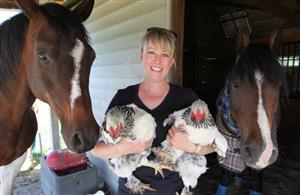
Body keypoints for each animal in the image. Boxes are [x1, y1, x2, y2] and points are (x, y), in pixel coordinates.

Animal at [216, 31, 286, 194]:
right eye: (235, 84)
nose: (261, 153)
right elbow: (225, 179)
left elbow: (256, 184)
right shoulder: (226, 151)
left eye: (278, 85)